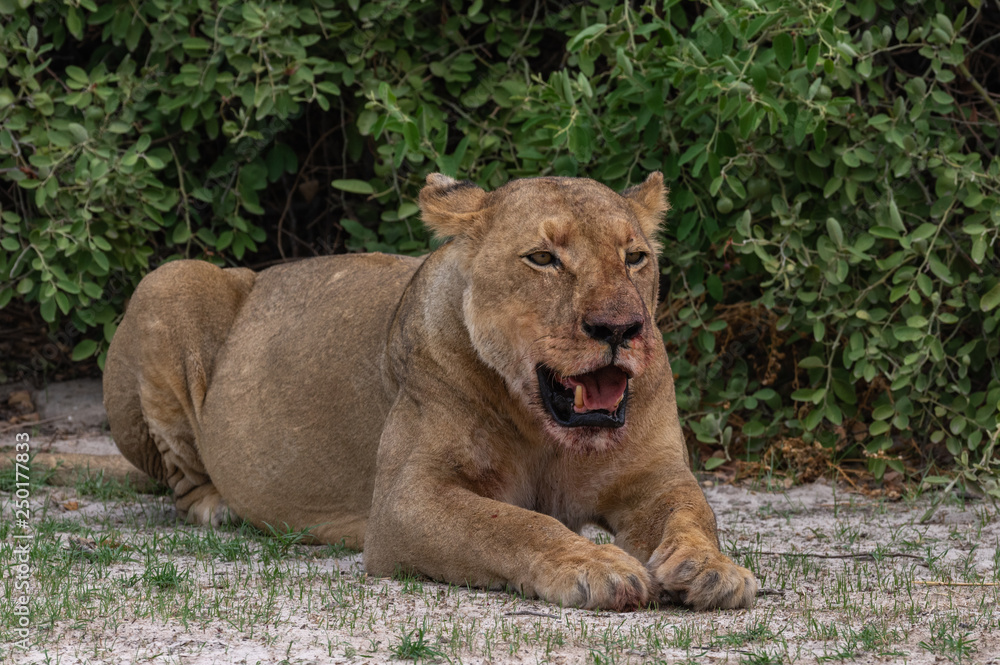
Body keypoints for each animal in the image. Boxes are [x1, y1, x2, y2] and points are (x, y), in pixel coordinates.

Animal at [103, 172, 758, 611]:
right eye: (543, 258)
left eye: (635, 256)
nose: (620, 328)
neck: (547, 433)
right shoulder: (406, 500)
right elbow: (512, 524)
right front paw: (596, 564)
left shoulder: (654, 475)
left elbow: (693, 511)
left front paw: (713, 569)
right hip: (169, 280)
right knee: (182, 480)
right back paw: (218, 505)